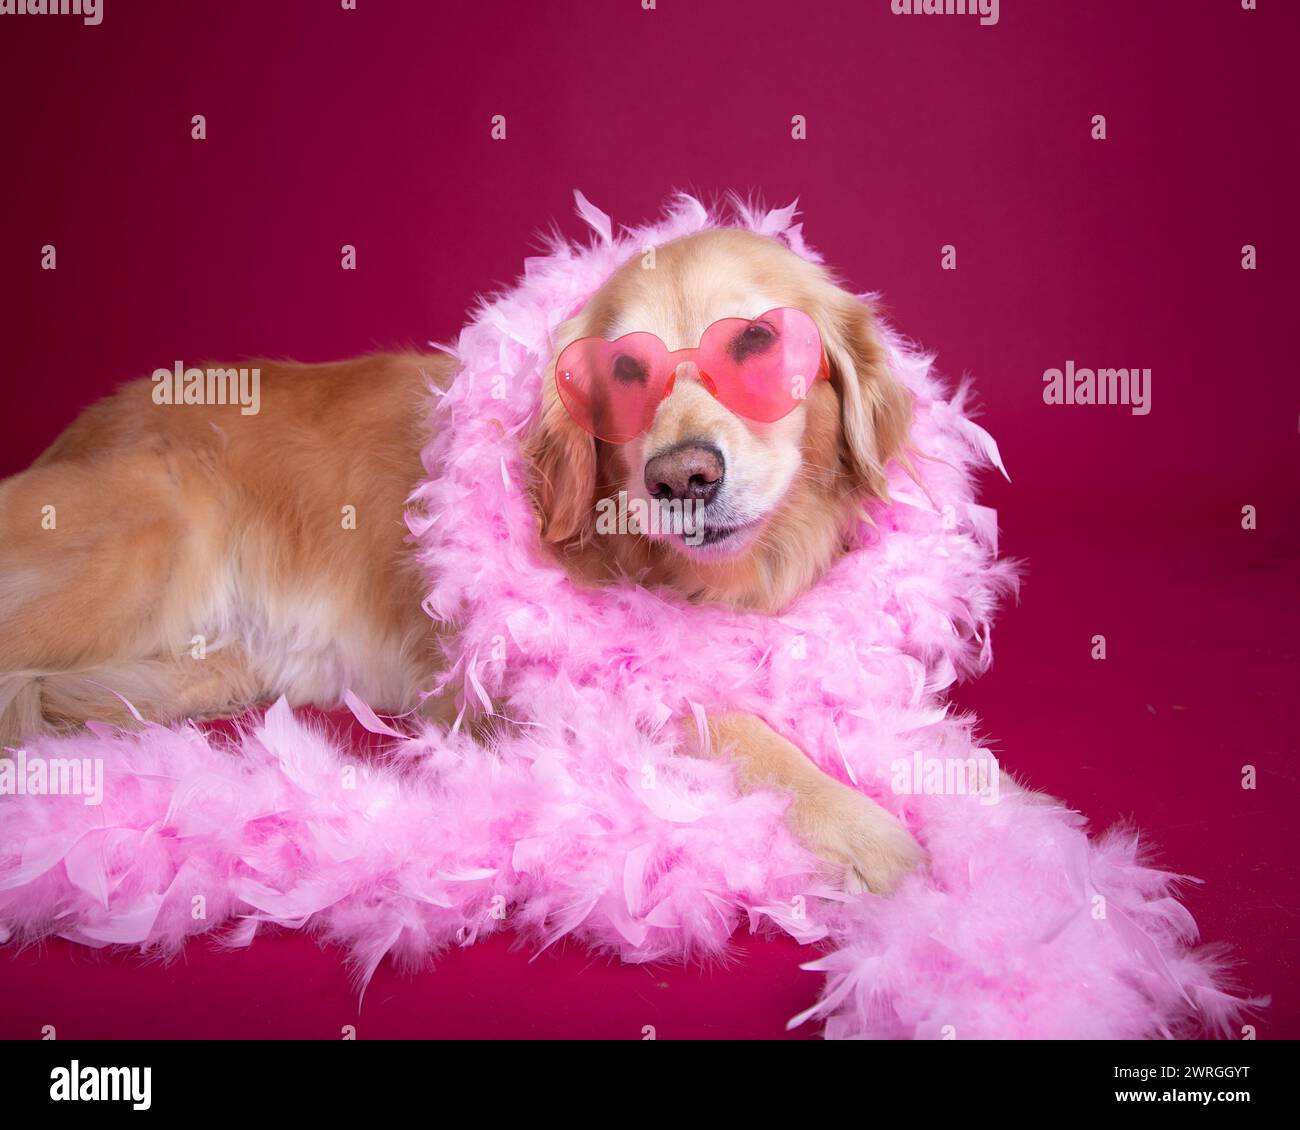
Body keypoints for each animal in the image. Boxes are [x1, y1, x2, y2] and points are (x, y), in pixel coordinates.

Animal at [5, 228, 930, 894]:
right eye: (625, 371)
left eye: (759, 341)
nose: (682, 479)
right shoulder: (532, 684)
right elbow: (721, 721)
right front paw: (862, 827)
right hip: (148, 546)